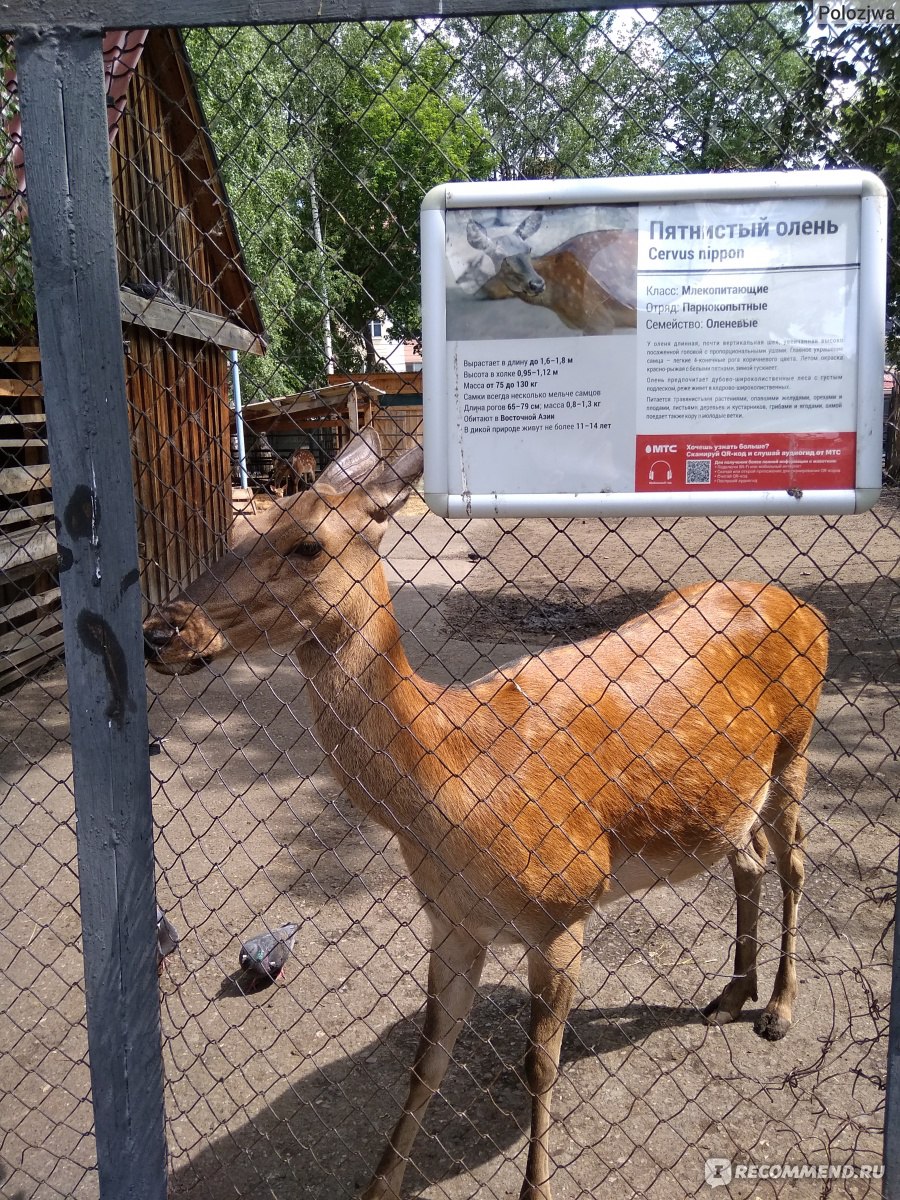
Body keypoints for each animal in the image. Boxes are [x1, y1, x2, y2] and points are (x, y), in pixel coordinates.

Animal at [144, 432, 830, 1200]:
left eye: (307, 544)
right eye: (243, 529)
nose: (160, 630)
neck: (453, 783)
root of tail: (804, 607)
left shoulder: (564, 908)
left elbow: (540, 1064)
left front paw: (537, 1187)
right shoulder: (451, 922)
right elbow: (426, 1062)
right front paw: (379, 1185)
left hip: (796, 746)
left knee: (796, 862)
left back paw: (778, 1008)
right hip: (733, 797)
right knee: (750, 859)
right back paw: (731, 995)